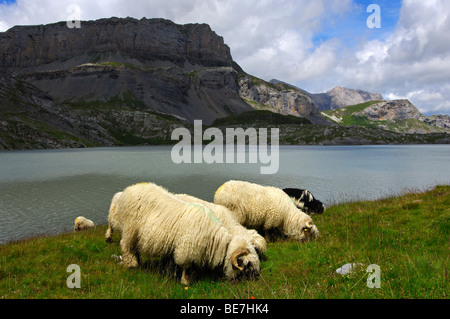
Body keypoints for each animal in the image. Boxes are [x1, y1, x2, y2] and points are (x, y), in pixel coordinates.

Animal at [115, 182, 260, 284]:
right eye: (248, 265)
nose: (256, 280)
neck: (217, 241)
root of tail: (129, 189)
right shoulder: (187, 250)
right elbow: (187, 268)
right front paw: (186, 281)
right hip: (130, 229)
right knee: (126, 245)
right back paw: (132, 265)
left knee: (134, 248)